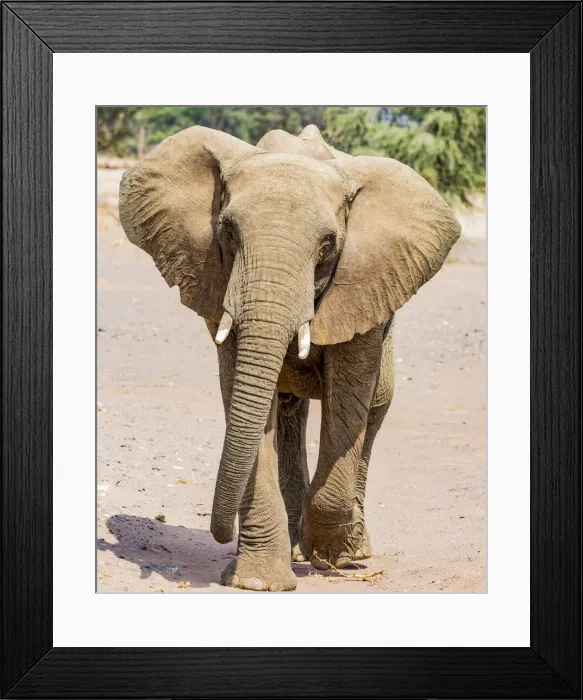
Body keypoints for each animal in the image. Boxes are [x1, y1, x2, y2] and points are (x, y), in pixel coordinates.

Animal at [118, 124, 461, 592]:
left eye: (328, 244)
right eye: (227, 232)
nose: (220, 532)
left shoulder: (364, 280)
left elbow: (349, 394)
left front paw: (330, 553)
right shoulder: (217, 279)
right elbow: (241, 391)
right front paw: (256, 581)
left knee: (375, 406)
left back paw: (351, 552)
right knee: (287, 410)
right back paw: (299, 548)